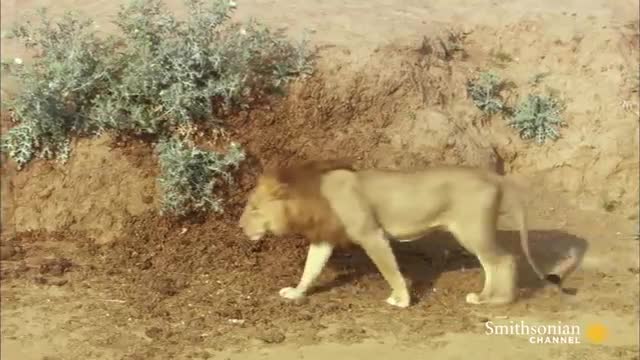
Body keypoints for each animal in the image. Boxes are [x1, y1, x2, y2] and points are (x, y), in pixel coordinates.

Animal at [238, 159, 576, 308]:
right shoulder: (324, 239)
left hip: (473, 231)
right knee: (493, 263)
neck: (313, 198)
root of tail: (493, 175)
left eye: (254, 208)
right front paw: (296, 293)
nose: (239, 227)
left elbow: (389, 269)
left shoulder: (371, 233)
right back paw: (485, 295)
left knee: (504, 260)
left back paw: (497, 300)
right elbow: (310, 269)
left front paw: (401, 299)